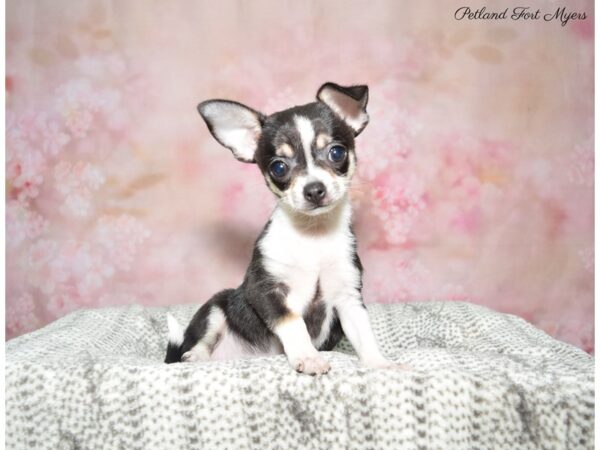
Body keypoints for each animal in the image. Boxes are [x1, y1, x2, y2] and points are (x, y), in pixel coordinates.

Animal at [164, 82, 398, 374]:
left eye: (337, 153)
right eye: (278, 167)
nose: (314, 189)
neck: (313, 236)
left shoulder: (349, 298)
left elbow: (364, 335)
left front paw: (380, 363)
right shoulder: (265, 290)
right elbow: (292, 321)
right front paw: (308, 357)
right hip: (215, 307)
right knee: (200, 340)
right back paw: (195, 356)